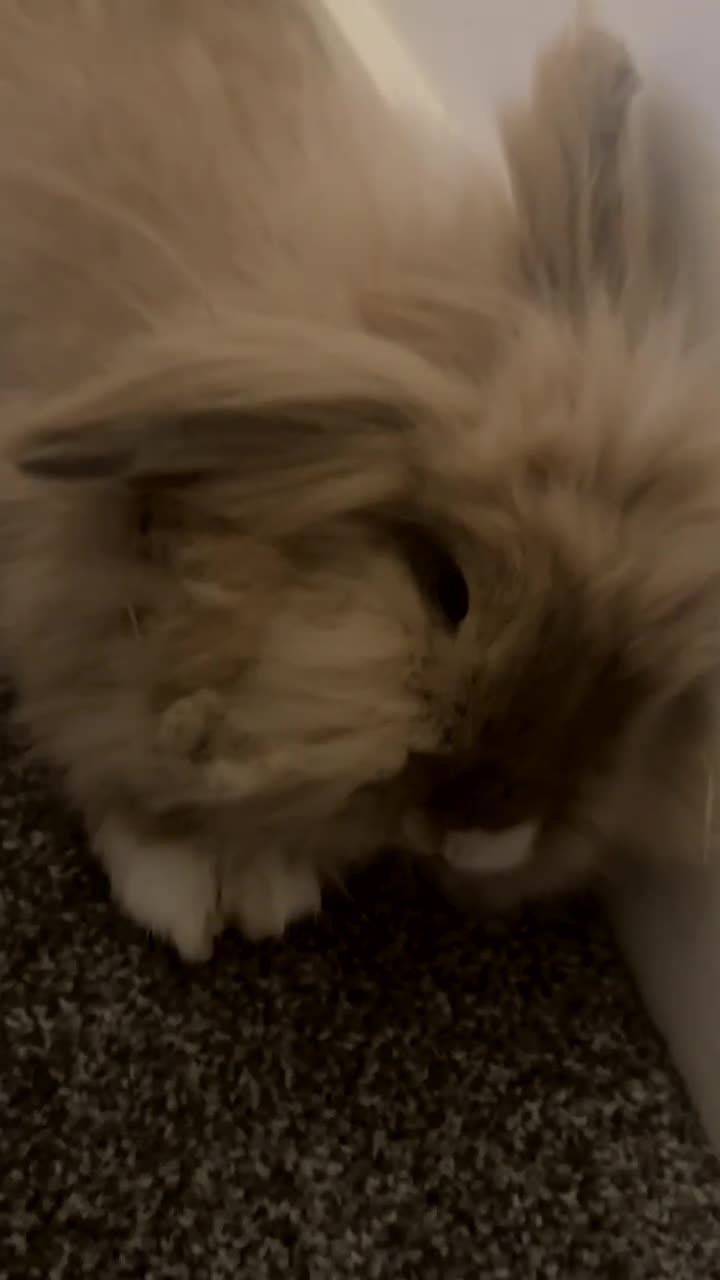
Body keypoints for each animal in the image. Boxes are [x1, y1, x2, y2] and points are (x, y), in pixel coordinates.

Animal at [1, 2, 720, 959]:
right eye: (445, 589)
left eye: (638, 670)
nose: (494, 836)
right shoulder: (67, 593)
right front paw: (178, 889)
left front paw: (270, 878)